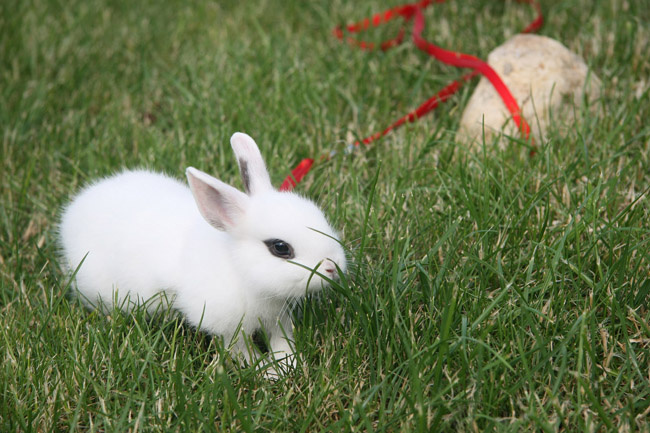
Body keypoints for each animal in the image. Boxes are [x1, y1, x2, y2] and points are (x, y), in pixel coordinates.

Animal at [59, 132, 347, 372]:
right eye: (280, 247)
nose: (334, 267)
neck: (239, 269)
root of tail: (76, 208)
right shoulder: (227, 325)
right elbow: (241, 350)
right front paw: (266, 371)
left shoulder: (276, 317)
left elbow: (281, 340)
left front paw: (287, 364)